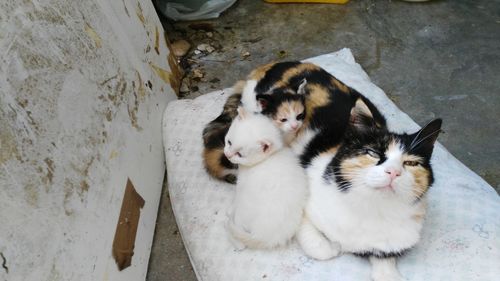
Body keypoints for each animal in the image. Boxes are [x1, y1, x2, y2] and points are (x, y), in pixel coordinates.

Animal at [224, 106, 308, 248]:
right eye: (229, 142)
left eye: (240, 154)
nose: (227, 155)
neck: (268, 157)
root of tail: (264, 237)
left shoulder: (242, 184)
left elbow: (236, 198)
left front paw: (230, 209)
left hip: (245, 207)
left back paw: (237, 242)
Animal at [296, 97, 442, 280]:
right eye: (373, 153)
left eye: (411, 163)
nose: (393, 172)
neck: (372, 207)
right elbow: (315, 241)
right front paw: (331, 247)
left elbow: (384, 255)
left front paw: (389, 274)